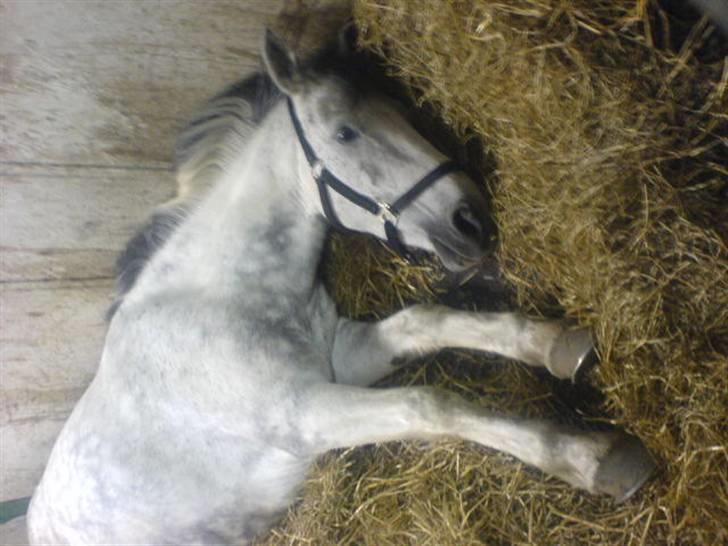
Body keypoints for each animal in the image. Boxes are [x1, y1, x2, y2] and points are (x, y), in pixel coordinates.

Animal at [27, 29, 655, 545]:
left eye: (399, 109)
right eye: (346, 132)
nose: (471, 218)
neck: (221, 299)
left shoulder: (342, 360)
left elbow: (425, 321)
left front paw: (560, 346)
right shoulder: (304, 414)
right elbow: (428, 402)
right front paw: (591, 457)